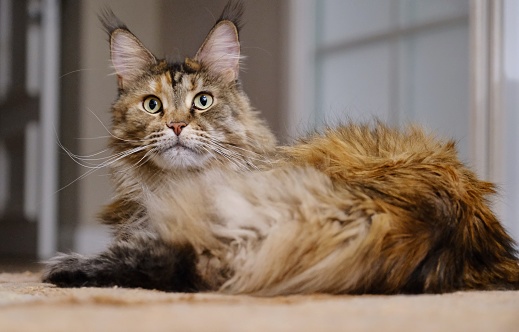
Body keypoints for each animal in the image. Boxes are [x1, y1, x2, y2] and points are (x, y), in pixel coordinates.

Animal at [41, 0, 519, 296]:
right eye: (153, 105)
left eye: (203, 101)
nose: (176, 125)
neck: (176, 187)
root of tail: (436, 220)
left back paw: (64, 266)